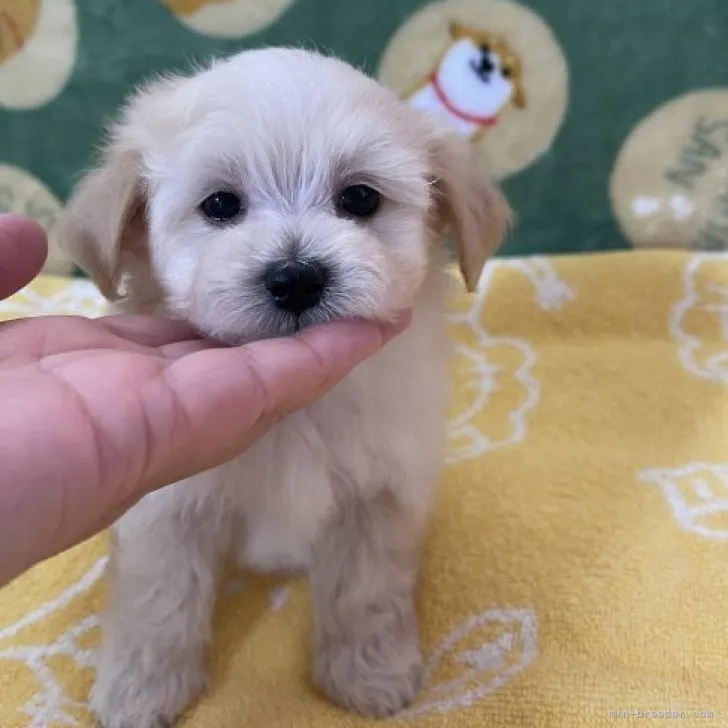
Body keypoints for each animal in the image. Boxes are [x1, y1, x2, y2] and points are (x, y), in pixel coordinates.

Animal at [59, 48, 510, 724]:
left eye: (359, 198)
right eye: (221, 205)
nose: (296, 277)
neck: (297, 411)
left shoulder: (379, 491)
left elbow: (366, 588)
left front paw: (369, 674)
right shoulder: (166, 507)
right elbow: (157, 599)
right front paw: (141, 690)